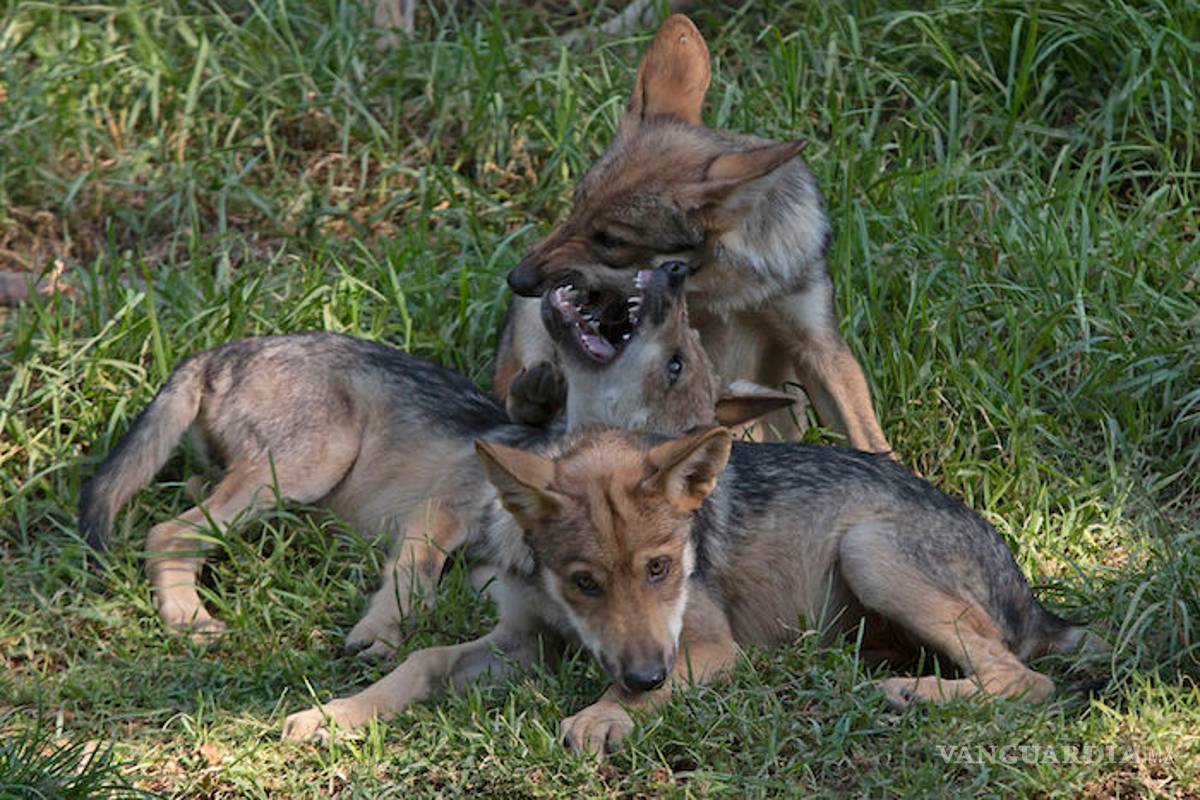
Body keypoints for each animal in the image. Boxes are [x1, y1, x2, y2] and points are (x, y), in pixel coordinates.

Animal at [78, 261, 788, 655]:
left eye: (678, 362)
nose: (674, 269)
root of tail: (217, 352)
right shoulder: (436, 515)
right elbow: (412, 581)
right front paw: (380, 634)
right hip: (308, 465)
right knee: (167, 531)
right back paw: (189, 619)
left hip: (274, 478)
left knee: (186, 514)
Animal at [495, 14, 891, 454]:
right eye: (576, 205)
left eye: (612, 241)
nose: (516, 279)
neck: (725, 290)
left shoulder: (818, 344)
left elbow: (870, 439)